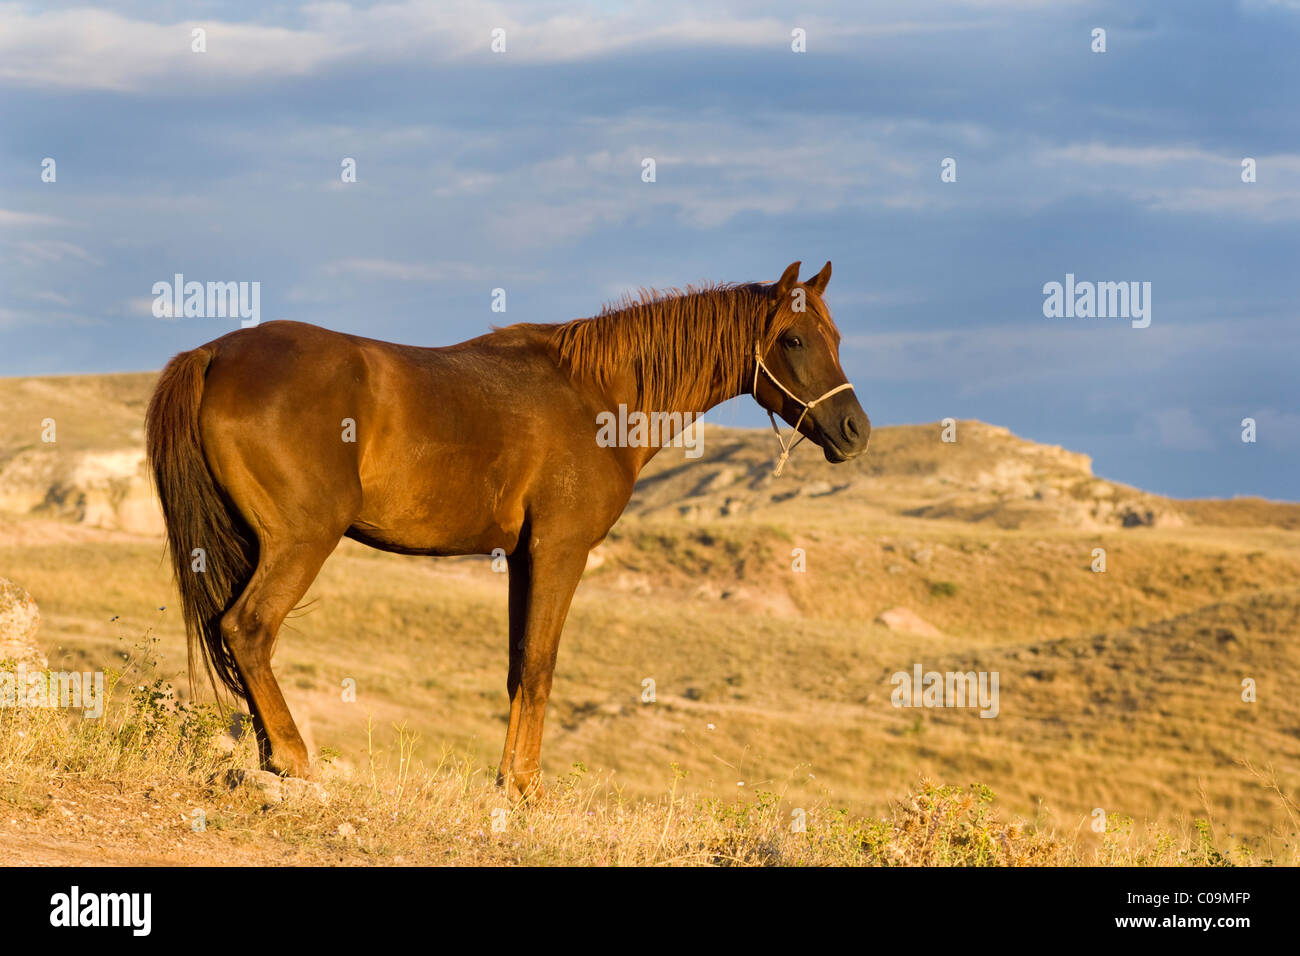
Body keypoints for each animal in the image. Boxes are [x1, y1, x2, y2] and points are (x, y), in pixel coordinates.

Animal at [147, 257, 868, 796]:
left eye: (836, 339)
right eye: (794, 340)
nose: (855, 430)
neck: (595, 394)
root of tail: (212, 354)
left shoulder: (523, 558)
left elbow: (520, 664)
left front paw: (507, 780)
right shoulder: (559, 551)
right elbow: (542, 665)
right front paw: (524, 788)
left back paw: (271, 754)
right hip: (300, 541)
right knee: (248, 629)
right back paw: (293, 758)